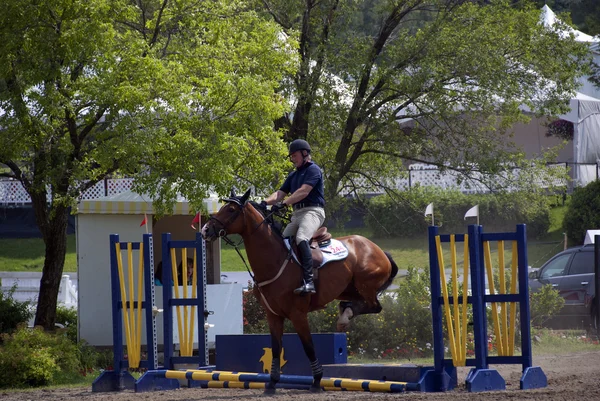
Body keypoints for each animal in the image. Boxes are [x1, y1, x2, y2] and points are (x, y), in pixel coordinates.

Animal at [202, 189, 398, 392]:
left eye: (231, 209)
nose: (205, 230)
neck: (275, 260)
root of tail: (377, 249)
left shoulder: (298, 315)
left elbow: (308, 347)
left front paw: (317, 380)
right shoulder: (273, 315)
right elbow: (276, 348)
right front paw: (272, 383)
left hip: (365, 284)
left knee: (374, 306)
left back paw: (345, 316)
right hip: (347, 289)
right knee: (358, 303)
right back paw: (345, 313)